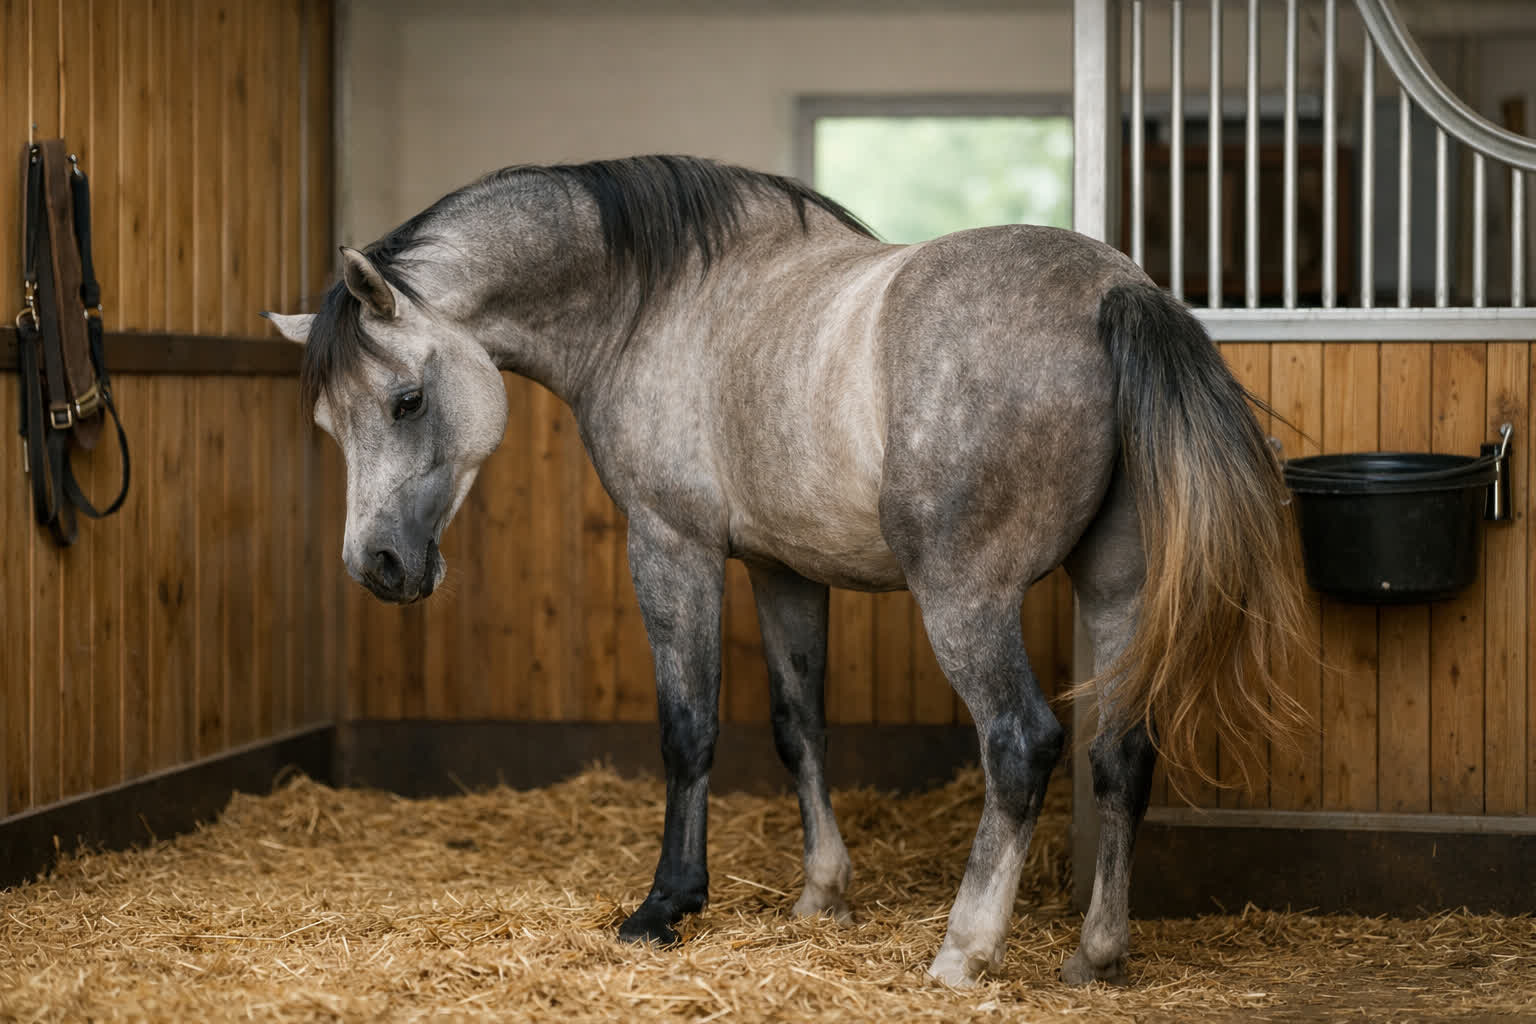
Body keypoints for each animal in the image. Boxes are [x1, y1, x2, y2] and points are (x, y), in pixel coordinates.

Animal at [265, 154, 1307, 988]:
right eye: (327, 422)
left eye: (406, 401)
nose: (379, 566)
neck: (657, 304)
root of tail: (1114, 292)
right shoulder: (781, 569)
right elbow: (798, 725)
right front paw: (822, 896)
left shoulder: (672, 545)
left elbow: (689, 730)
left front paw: (665, 907)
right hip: (1117, 592)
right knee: (1121, 754)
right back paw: (1096, 955)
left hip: (967, 601)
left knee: (1021, 744)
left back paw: (964, 952)